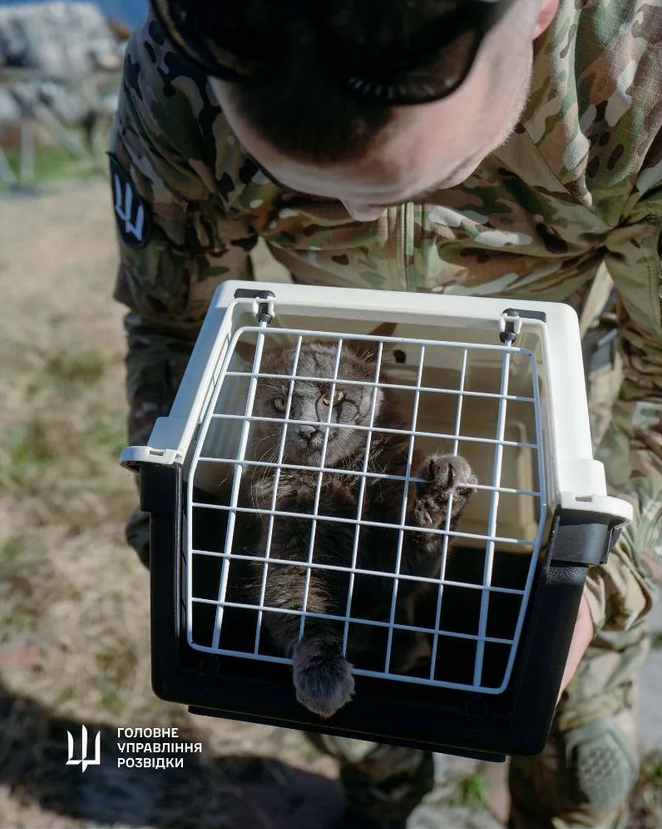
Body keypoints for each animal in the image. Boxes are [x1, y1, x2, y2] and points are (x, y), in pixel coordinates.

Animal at [240, 338, 478, 720]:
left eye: (335, 397)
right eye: (280, 404)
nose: (308, 431)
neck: (338, 480)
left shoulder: (388, 572)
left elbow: (410, 559)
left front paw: (443, 487)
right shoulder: (288, 550)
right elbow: (301, 608)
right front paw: (323, 679)